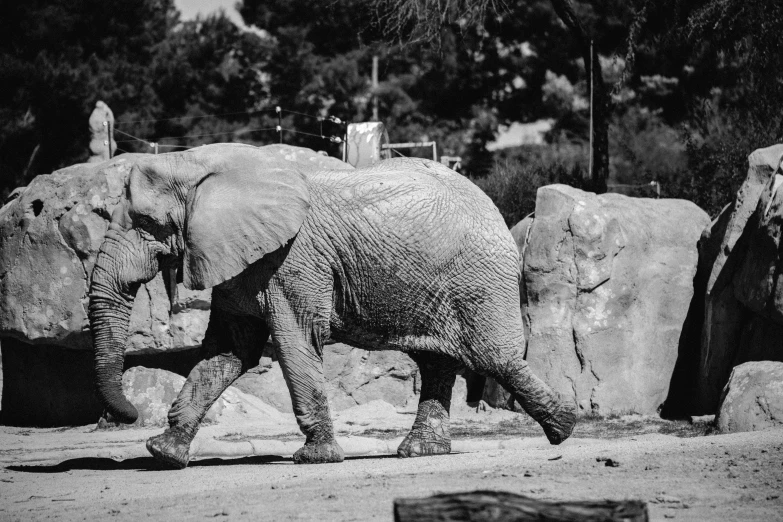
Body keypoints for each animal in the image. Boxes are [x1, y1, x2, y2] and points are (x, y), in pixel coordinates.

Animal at [89, 142, 576, 468]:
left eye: (146, 223)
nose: (127, 414)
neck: (209, 165)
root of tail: (499, 210)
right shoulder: (239, 263)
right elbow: (228, 354)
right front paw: (164, 453)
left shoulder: (292, 262)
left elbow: (296, 341)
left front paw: (315, 458)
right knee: (437, 361)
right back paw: (420, 452)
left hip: (478, 278)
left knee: (494, 357)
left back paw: (564, 429)